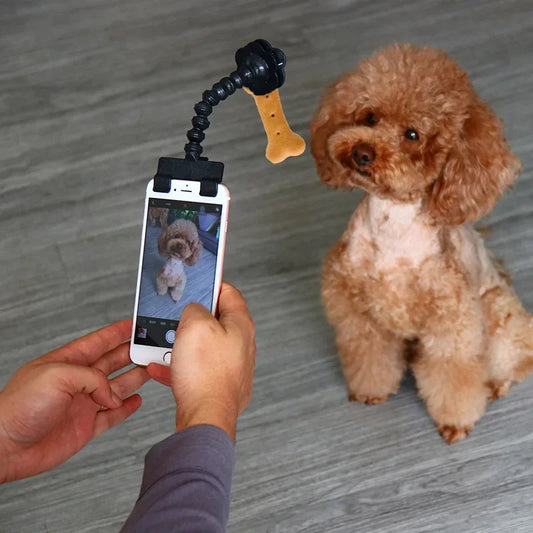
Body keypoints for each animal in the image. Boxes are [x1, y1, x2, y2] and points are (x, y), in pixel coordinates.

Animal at [312, 44, 532, 444]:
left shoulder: (452, 325)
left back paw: (493, 385)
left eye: (412, 134)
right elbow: (369, 357)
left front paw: (456, 421)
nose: (362, 153)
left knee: (513, 363)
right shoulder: (357, 313)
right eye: (369, 116)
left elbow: (454, 378)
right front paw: (370, 390)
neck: (391, 231)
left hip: (499, 319)